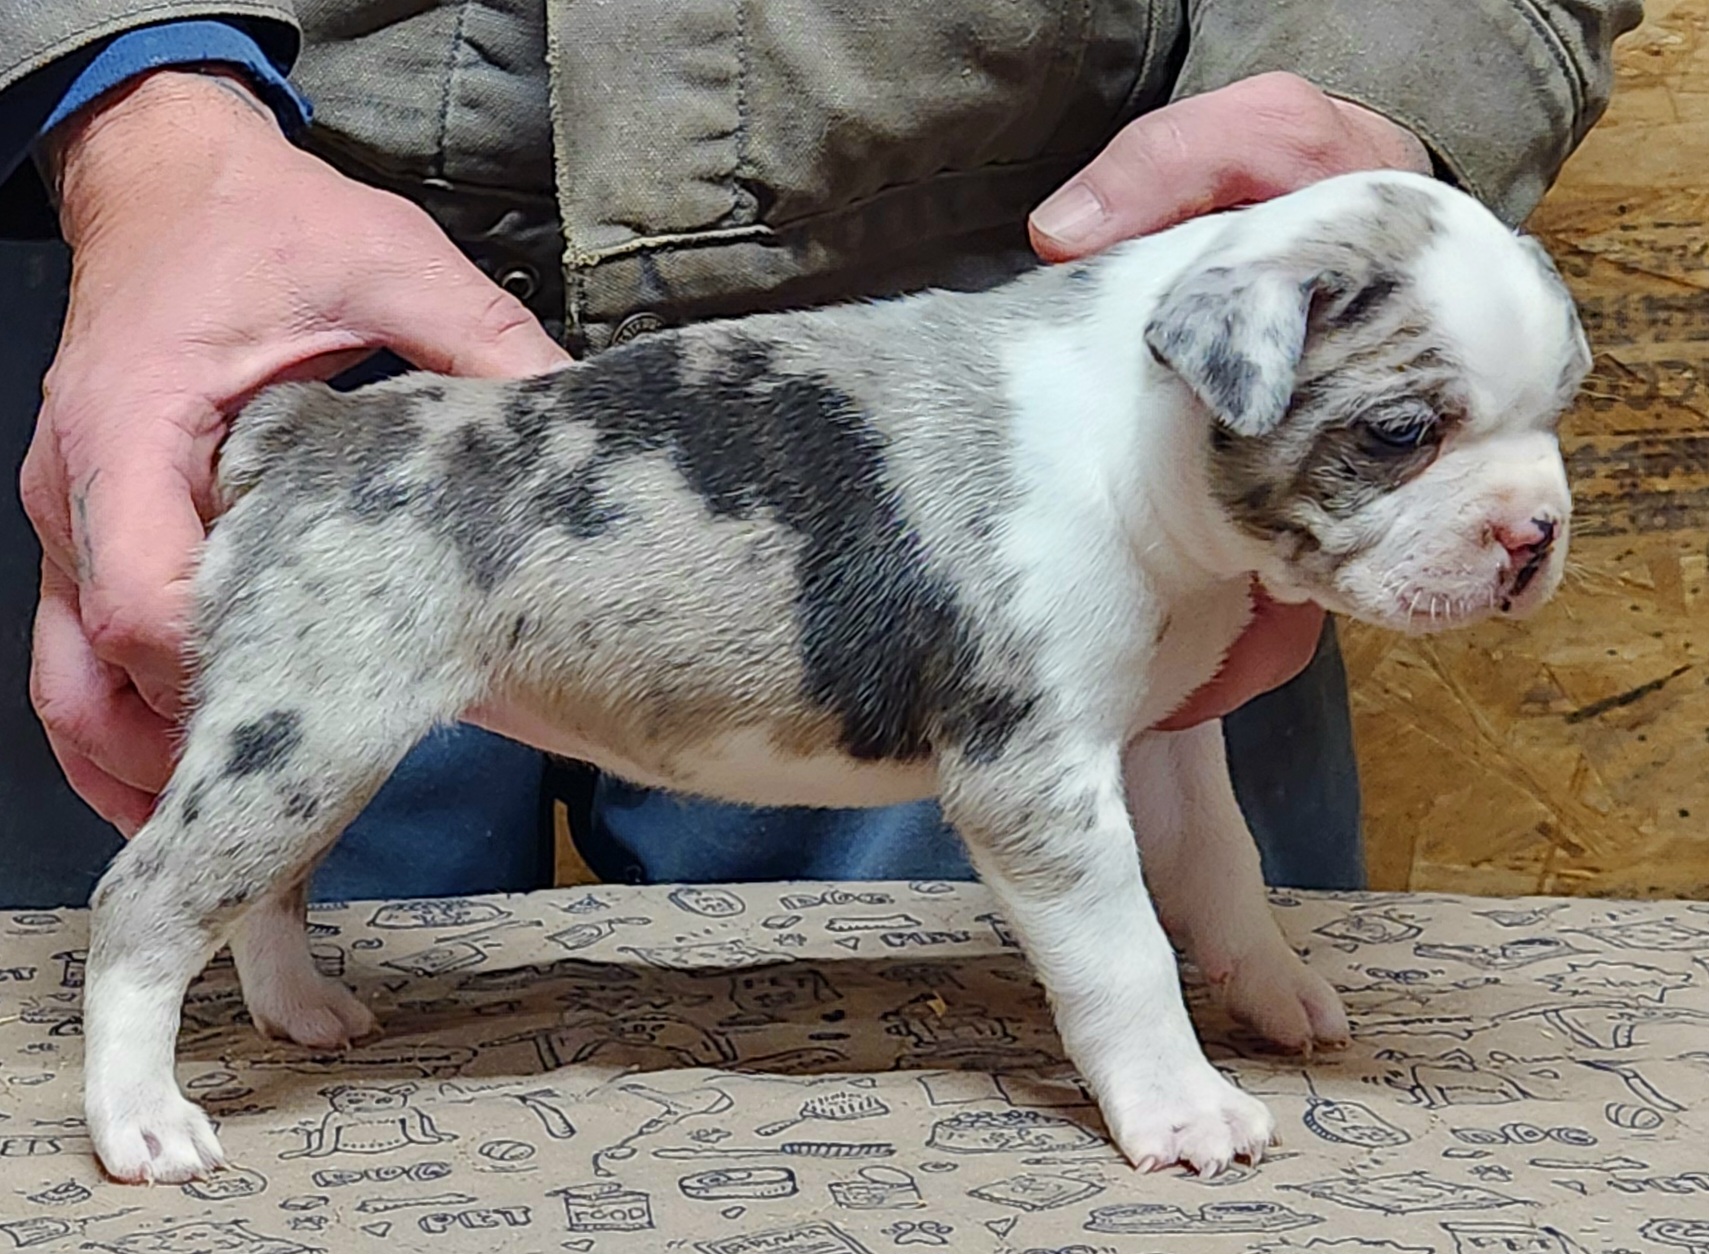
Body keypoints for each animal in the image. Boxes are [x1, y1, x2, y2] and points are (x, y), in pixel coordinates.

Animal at [79, 169, 1589, 1183]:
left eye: (1557, 412)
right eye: (1398, 432)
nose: (1532, 537)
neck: (1142, 442)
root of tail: (308, 426)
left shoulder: (1157, 741)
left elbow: (1221, 875)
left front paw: (1278, 996)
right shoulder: (1037, 779)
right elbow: (1123, 954)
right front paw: (1182, 1108)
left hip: (306, 741)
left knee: (258, 892)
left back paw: (301, 1010)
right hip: (308, 731)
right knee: (144, 904)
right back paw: (142, 1120)